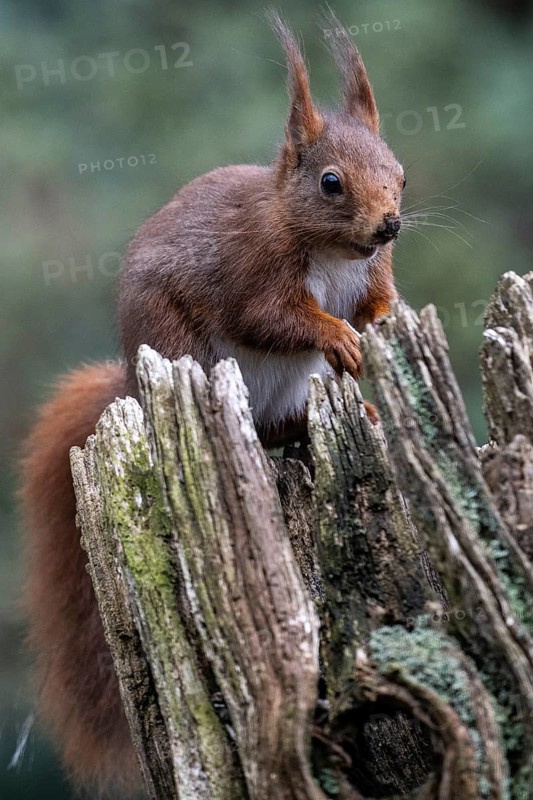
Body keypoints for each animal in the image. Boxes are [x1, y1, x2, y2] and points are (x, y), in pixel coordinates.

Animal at [20, 13, 404, 797]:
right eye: (330, 182)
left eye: (399, 170)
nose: (390, 226)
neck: (331, 255)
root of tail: (131, 385)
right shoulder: (255, 273)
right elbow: (272, 318)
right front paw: (336, 335)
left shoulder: (369, 272)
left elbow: (376, 303)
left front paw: (382, 321)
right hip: (184, 351)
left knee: (282, 424)